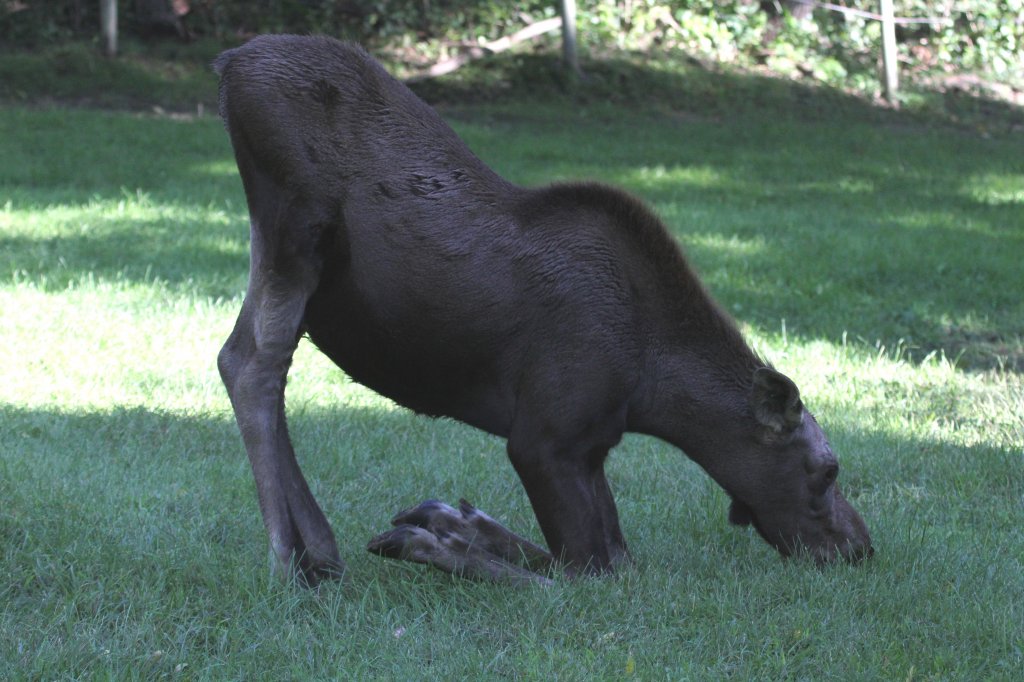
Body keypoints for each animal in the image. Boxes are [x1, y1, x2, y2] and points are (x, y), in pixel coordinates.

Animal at [214, 34, 872, 585]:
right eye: (826, 471)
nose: (861, 546)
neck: (653, 391)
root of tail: (230, 65)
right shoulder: (543, 440)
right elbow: (579, 572)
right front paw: (431, 546)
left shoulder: (591, 449)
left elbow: (590, 555)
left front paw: (449, 521)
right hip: (298, 225)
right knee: (255, 364)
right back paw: (294, 558)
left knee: (239, 356)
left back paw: (319, 552)